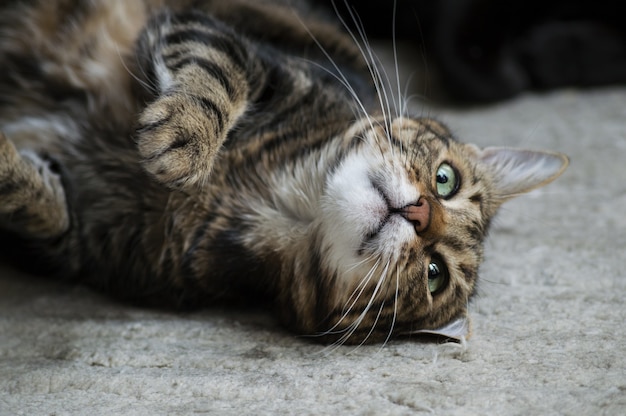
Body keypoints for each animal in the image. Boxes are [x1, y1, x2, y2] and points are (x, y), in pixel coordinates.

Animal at [0, 0, 564, 344]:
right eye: (446, 180)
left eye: (433, 273)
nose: (421, 213)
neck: (274, 198)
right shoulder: (235, 43)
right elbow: (221, 68)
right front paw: (185, 139)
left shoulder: (86, 243)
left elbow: (44, 207)